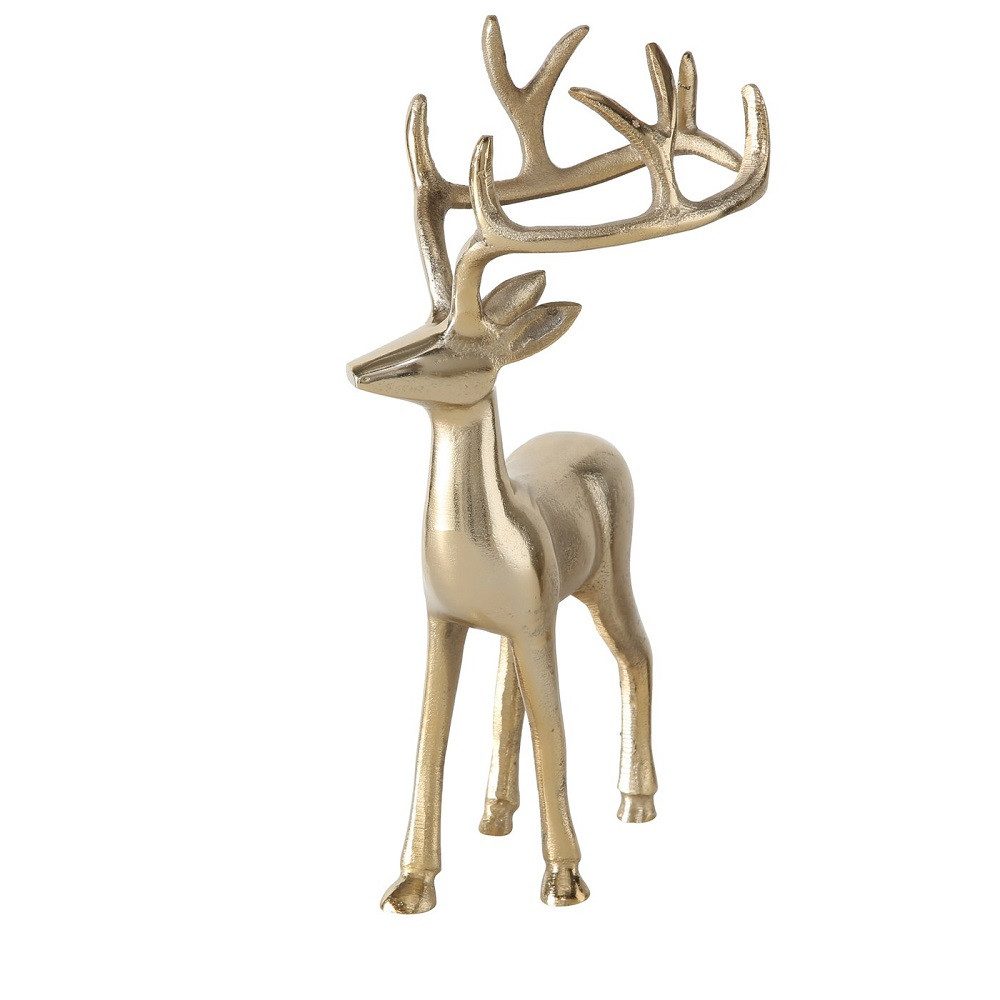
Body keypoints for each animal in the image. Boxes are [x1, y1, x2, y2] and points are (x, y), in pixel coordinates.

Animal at [347, 16, 769, 912]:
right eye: (421, 320)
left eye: (457, 343)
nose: (359, 367)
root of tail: (590, 438)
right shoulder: (441, 618)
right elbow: (430, 734)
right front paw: (411, 882)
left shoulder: (537, 615)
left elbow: (557, 736)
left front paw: (566, 877)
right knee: (510, 689)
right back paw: (494, 813)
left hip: (605, 573)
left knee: (638, 652)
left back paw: (636, 801)